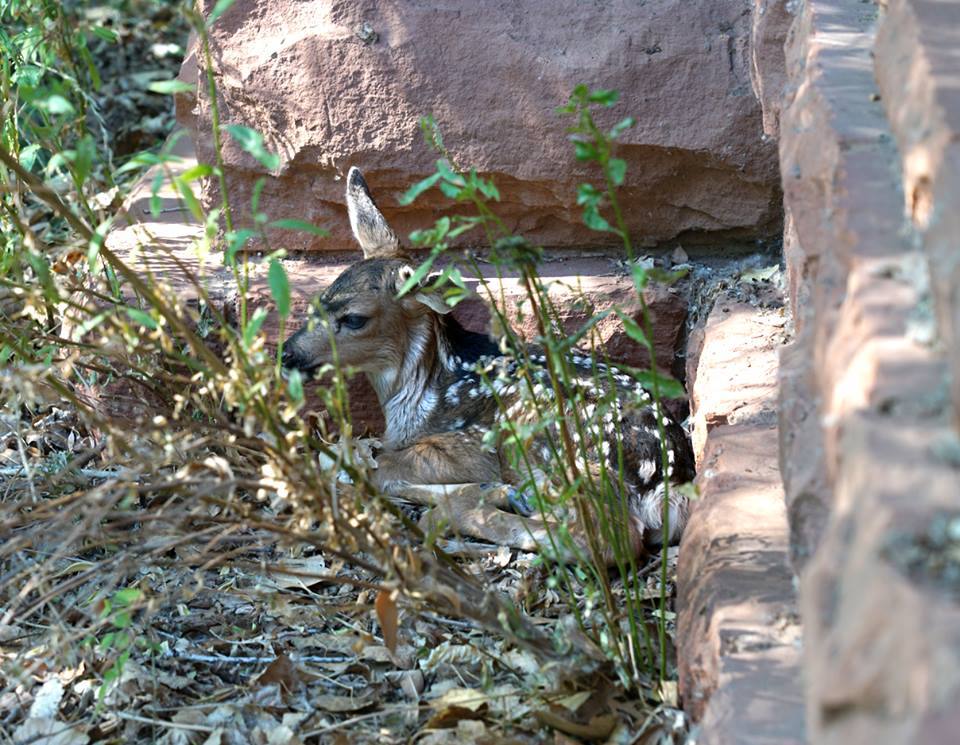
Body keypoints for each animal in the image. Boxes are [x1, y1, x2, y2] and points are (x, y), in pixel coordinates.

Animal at [281, 167, 695, 562]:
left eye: (354, 318)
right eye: (321, 299)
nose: (286, 354)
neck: (418, 393)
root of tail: (671, 483)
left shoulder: (471, 443)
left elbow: (375, 469)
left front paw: (478, 492)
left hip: (549, 438)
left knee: (609, 539)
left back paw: (464, 513)